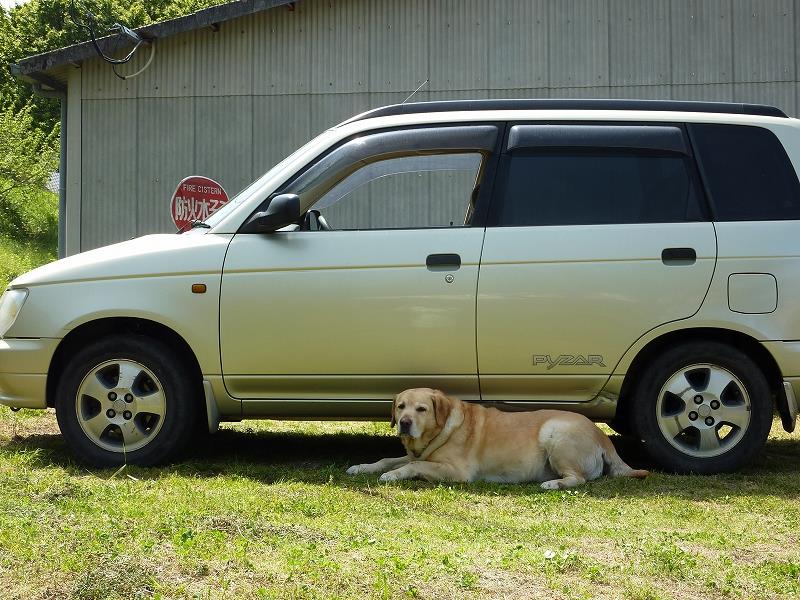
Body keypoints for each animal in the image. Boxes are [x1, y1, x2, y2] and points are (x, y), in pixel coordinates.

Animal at [346, 386, 648, 490]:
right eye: (400, 407)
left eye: (421, 409)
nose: (405, 423)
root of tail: (604, 437)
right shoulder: (414, 453)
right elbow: (388, 459)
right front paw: (361, 467)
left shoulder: (458, 472)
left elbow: (413, 465)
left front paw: (392, 475)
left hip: (555, 433)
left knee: (579, 479)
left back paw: (553, 484)